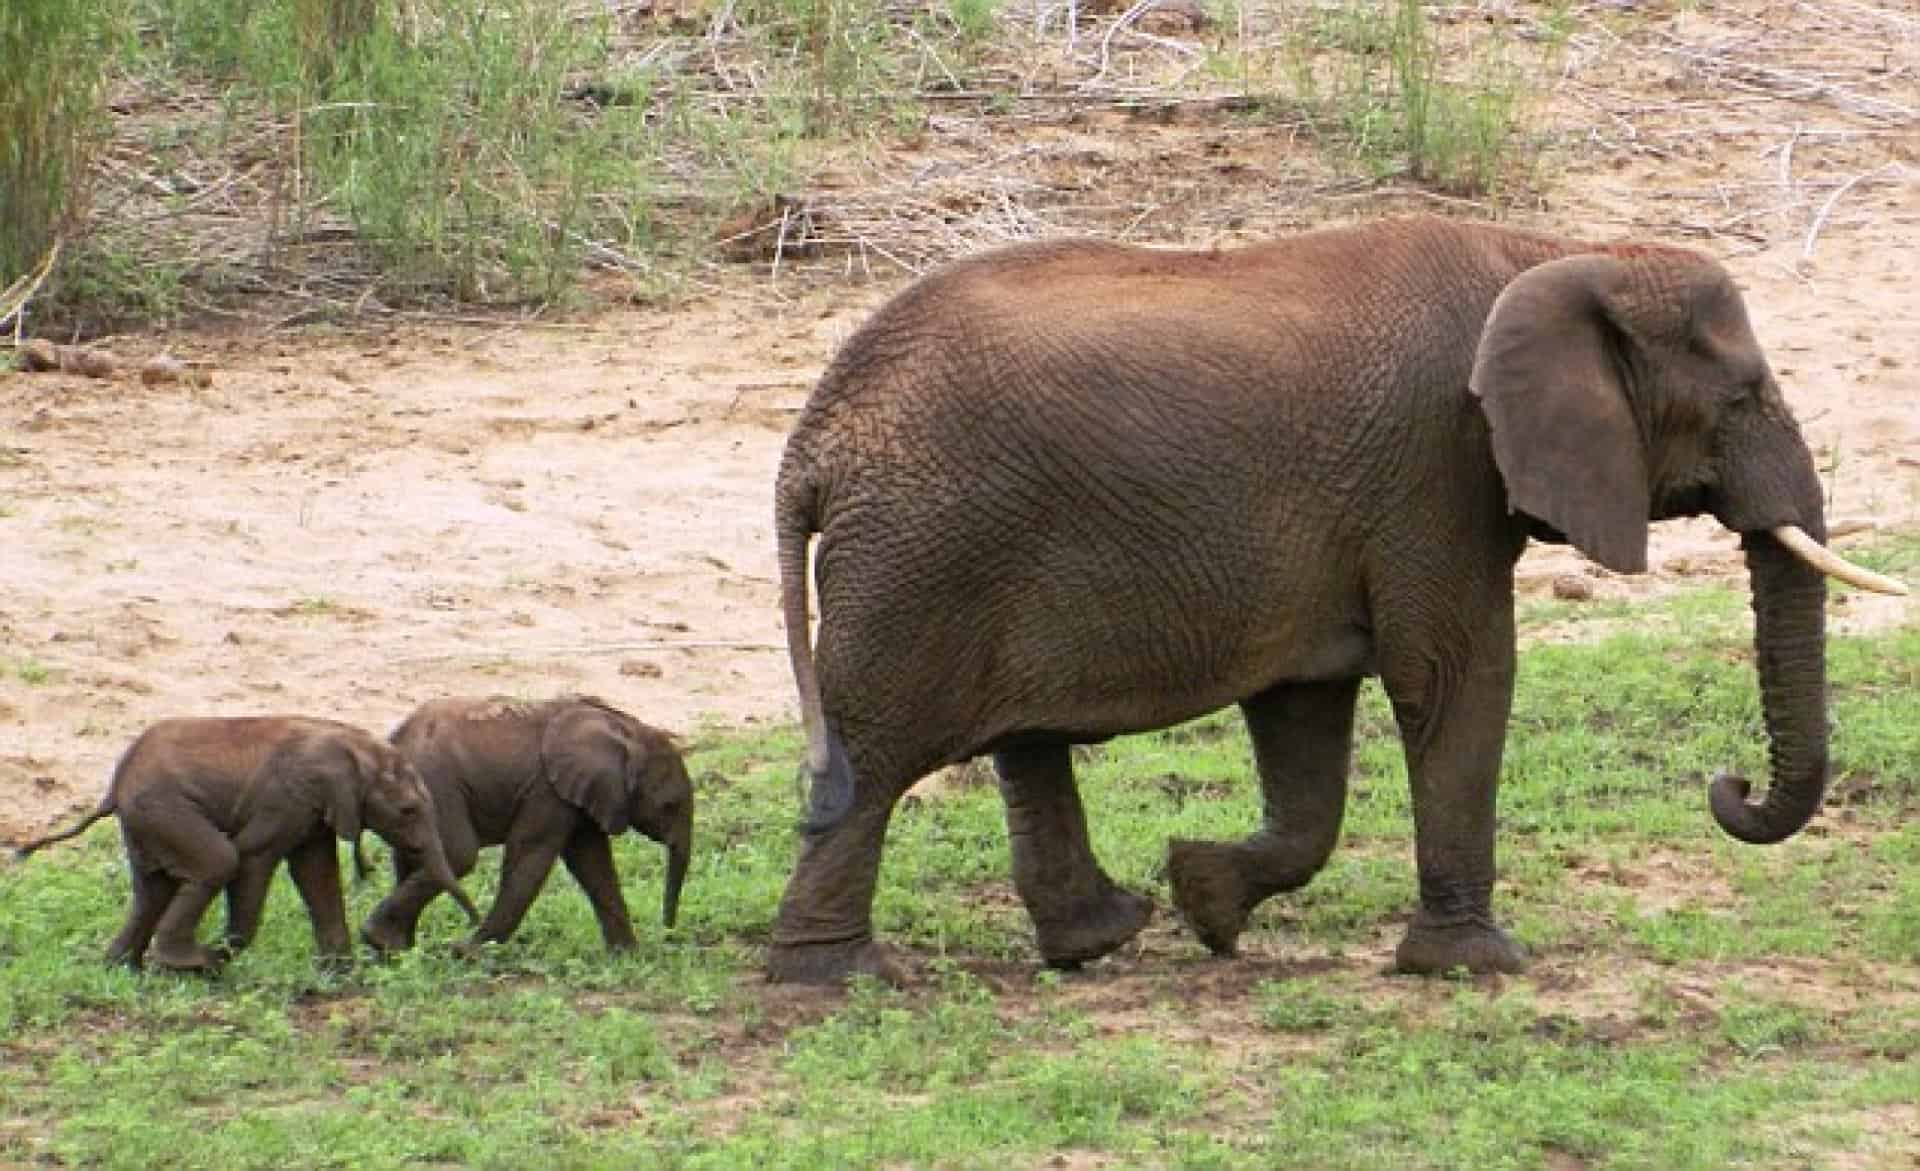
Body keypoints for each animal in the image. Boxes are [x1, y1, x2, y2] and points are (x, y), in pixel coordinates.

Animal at [16, 710, 480, 967]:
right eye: (408, 811)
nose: (468, 932)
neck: (357, 747)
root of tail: (114, 785)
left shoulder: (313, 807)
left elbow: (316, 872)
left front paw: (342, 974)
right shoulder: (288, 797)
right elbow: (255, 857)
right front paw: (225, 954)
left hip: (147, 822)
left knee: (152, 888)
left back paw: (122, 968)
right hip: (164, 808)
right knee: (219, 860)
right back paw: (191, 963)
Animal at [357, 691, 695, 948]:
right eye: (670, 806)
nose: (668, 934)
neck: (627, 728)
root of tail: (394, 739)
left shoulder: (581, 793)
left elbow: (592, 862)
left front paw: (627, 955)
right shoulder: (547, 790)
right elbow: (531, 855)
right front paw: (469, 953)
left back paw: (395, 949)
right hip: (435, 780)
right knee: (459, 854)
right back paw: (382, 941)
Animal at [764, 214, 1904, 979]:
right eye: (1744, 396)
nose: (1730, 784)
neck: (1555, 251)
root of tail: (812, 442)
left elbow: (1304, 712)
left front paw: (1207, 899)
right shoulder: (1436, 466)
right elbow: (1459, 676)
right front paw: (1477, 965)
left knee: (1021, 741)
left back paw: (1103, 936)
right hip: (924, 559)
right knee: (877, 755)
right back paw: (839, 979)